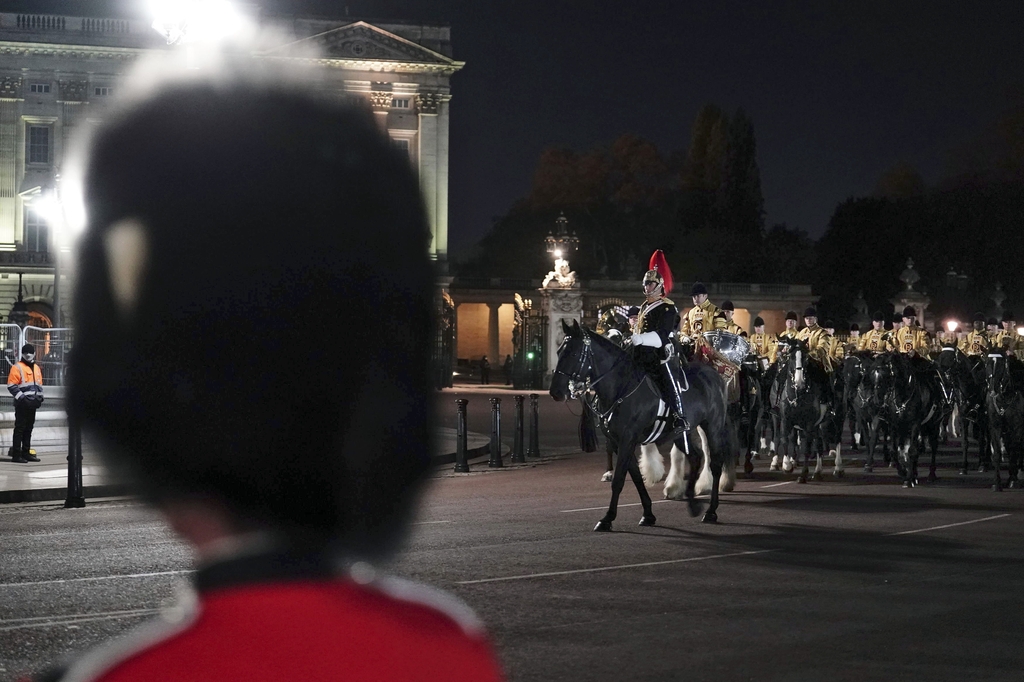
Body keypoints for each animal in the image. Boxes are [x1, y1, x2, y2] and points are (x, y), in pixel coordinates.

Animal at [548, 319, 733, 524]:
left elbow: (619, 480)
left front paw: (608, 518)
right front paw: (648, 514)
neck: (620, 388)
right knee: (695, 457)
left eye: (573, 353)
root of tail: (714, 374)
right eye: (559, 351)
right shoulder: (618, 441)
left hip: (712, 426)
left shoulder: (627, 439)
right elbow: (635, 478)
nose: (555, 392)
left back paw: (711, 510)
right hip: (680, 432)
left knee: (715, 463)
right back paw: (692, 502)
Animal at [983, 350, 1024, 489]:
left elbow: (1014, 450)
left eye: (1002, 365)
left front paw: (1012, 480)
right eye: (987, 363)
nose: (992, 390)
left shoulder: (1017, 426)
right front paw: (997, 483)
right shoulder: (995, 426)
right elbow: (997, 452)